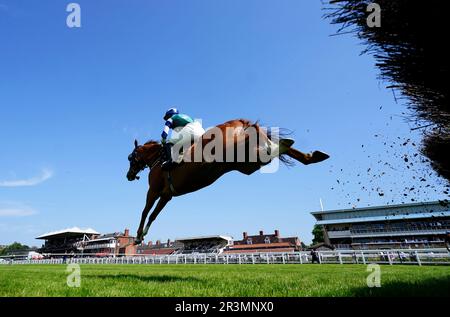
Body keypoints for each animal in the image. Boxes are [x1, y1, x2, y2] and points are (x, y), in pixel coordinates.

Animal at [125, 117, 328, 243]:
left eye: (130, 158)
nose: (129, 175)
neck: (158, 159)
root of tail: (239, 122)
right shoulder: (167, 195)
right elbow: (153, 214)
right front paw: (142, 235)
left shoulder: (154, 191)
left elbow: (145, 212)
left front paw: (138, 236)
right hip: (246, 164)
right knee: (266, 146)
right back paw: (309, 154)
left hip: (233, 150)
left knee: (257, 136)